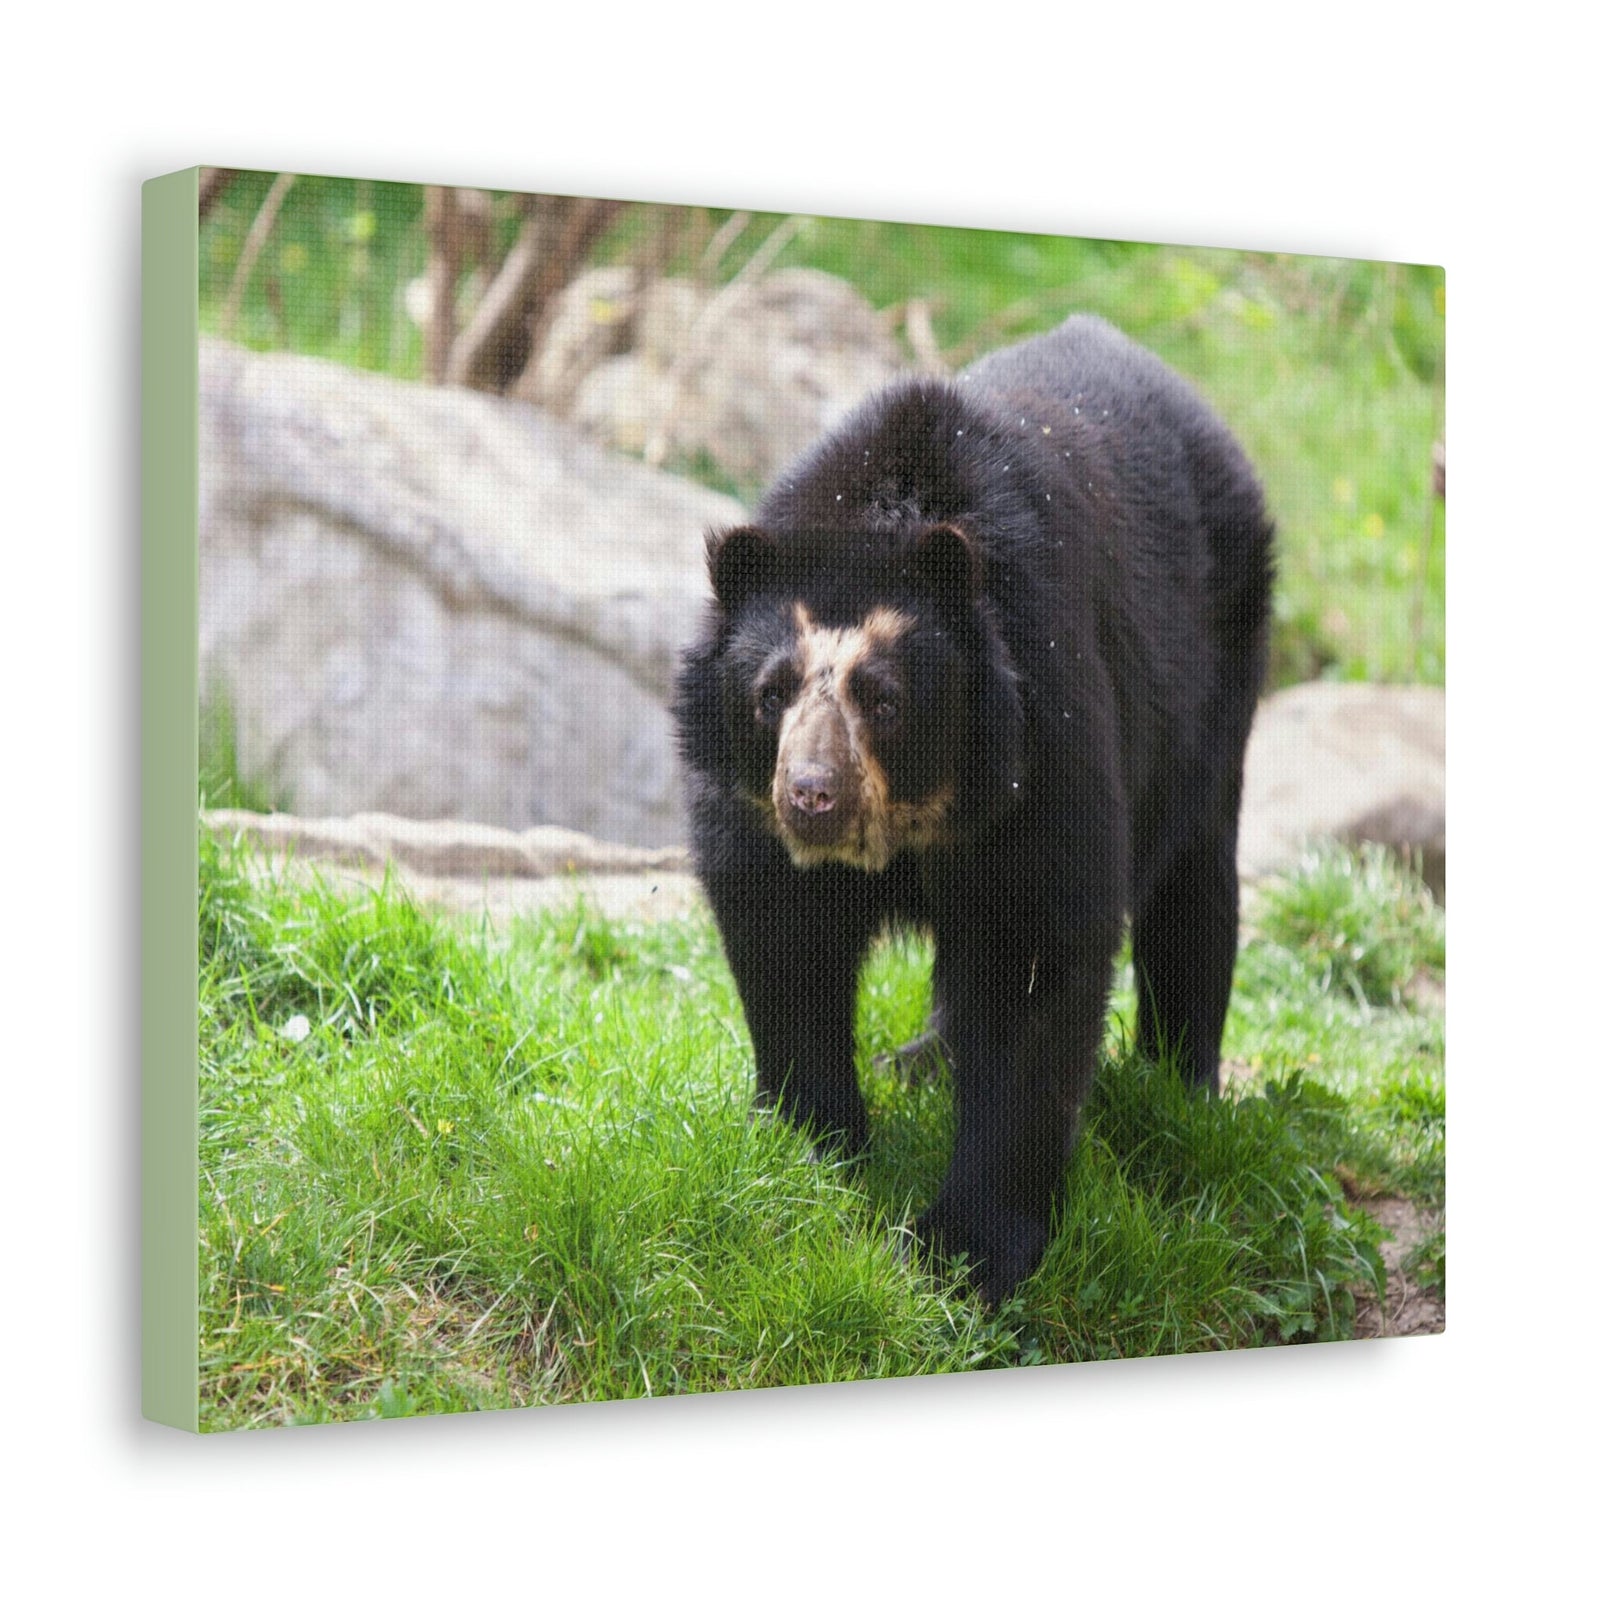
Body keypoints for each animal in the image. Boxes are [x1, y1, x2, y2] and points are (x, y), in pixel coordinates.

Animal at [672, 314, 1274, 1306]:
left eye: (883, 699)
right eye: (770, 694)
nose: (812, 797)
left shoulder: (1043, 735)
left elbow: (1035, 956)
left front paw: (965, 1253)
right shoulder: (743, 803)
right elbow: (783, 934)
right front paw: (809, 1144)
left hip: (1216, 678)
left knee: (1193, 888)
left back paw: (1179, 1089)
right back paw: (920, 1061)